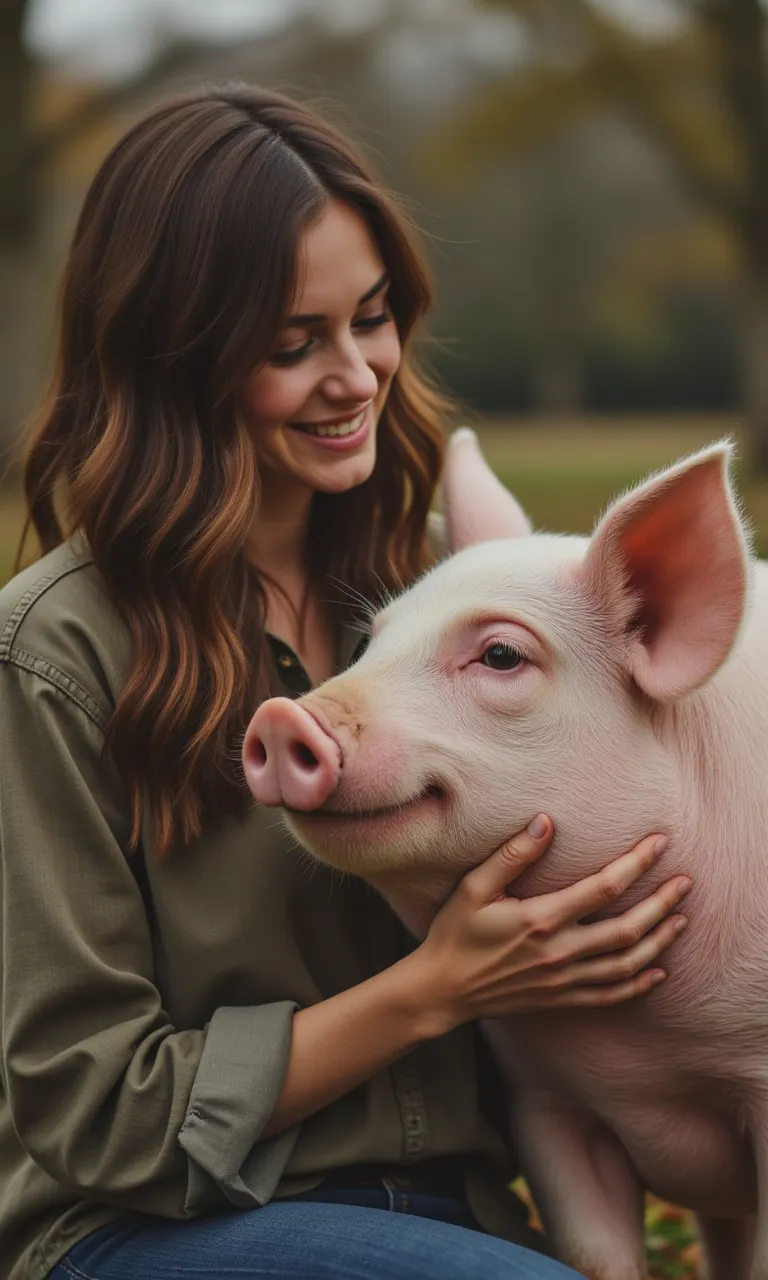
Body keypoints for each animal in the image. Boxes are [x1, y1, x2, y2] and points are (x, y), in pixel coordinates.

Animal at [243, 429, 768, 1280]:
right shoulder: (544, 1103)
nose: (281, 716)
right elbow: (592, 1252)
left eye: (499, 656)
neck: (646, 1051)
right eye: (369, 643)